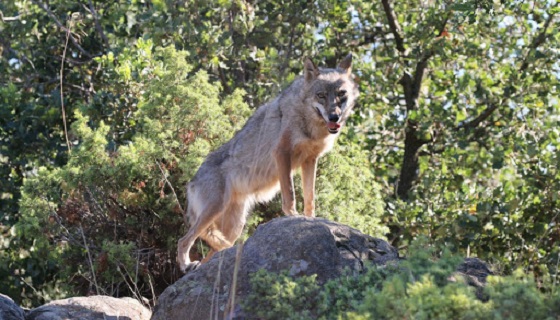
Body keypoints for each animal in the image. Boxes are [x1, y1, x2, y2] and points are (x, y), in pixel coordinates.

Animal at [177, 53, 358, 272]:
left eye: (341, 94)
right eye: (321, 95)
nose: (334, 117)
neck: (309, 124)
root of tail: (191, 182)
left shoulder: (310, 160)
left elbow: (310, 197)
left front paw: (310, 219)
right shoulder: (282, 153)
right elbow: (290, 194)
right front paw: (293, 216)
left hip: (234, 227)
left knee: (212, 254)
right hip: (214, 210)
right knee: (183, 240)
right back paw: (186, 265)